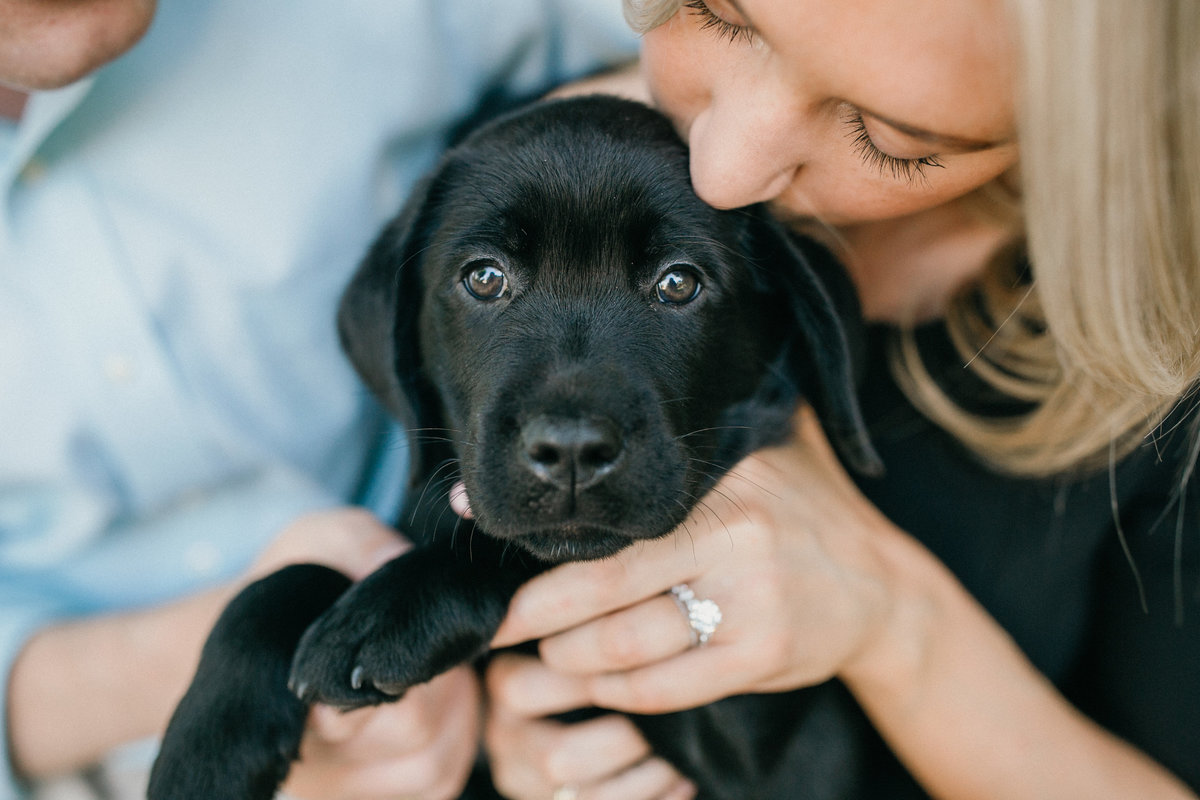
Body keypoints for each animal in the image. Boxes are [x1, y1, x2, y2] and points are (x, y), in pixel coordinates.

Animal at [147, 97, 883, 800]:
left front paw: (388, 611)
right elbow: (291, 575)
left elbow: (507, 547)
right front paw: (205, 750)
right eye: (484, 278)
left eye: (679, 283)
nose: (572, 451)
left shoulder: (750, 741)